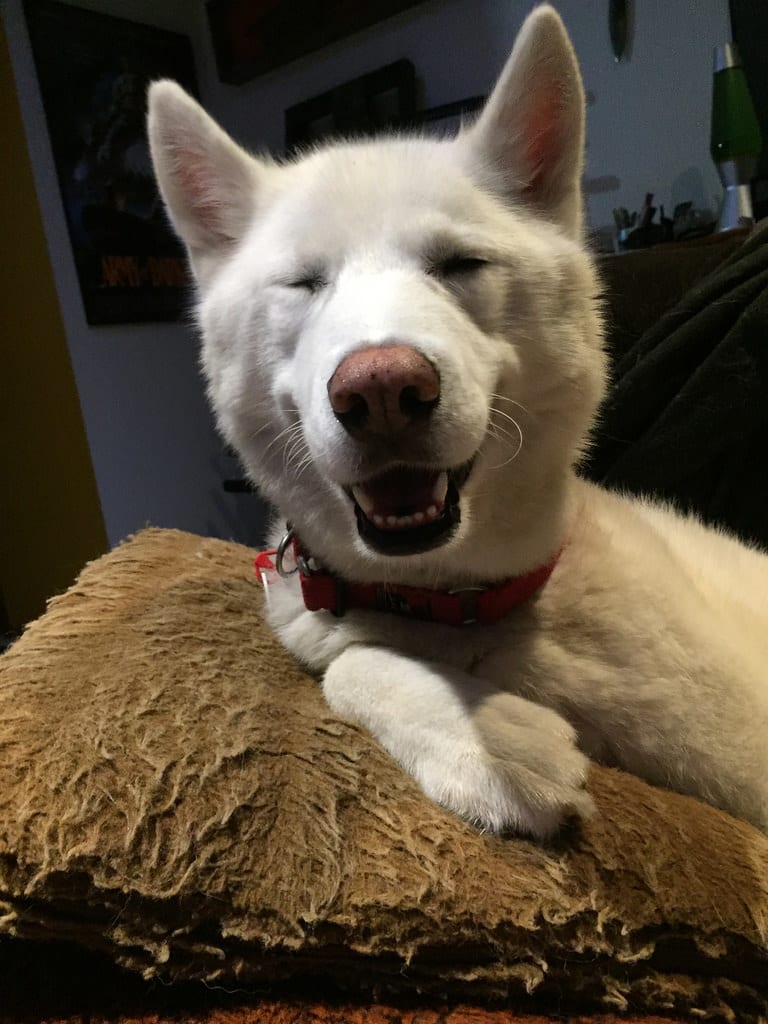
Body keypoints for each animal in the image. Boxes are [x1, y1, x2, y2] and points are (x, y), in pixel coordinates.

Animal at [148, 5, 768, 838]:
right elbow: (348, 664)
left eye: (459, 265)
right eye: (304, 283)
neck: (454, 604)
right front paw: (488, 739)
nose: (380, 390)